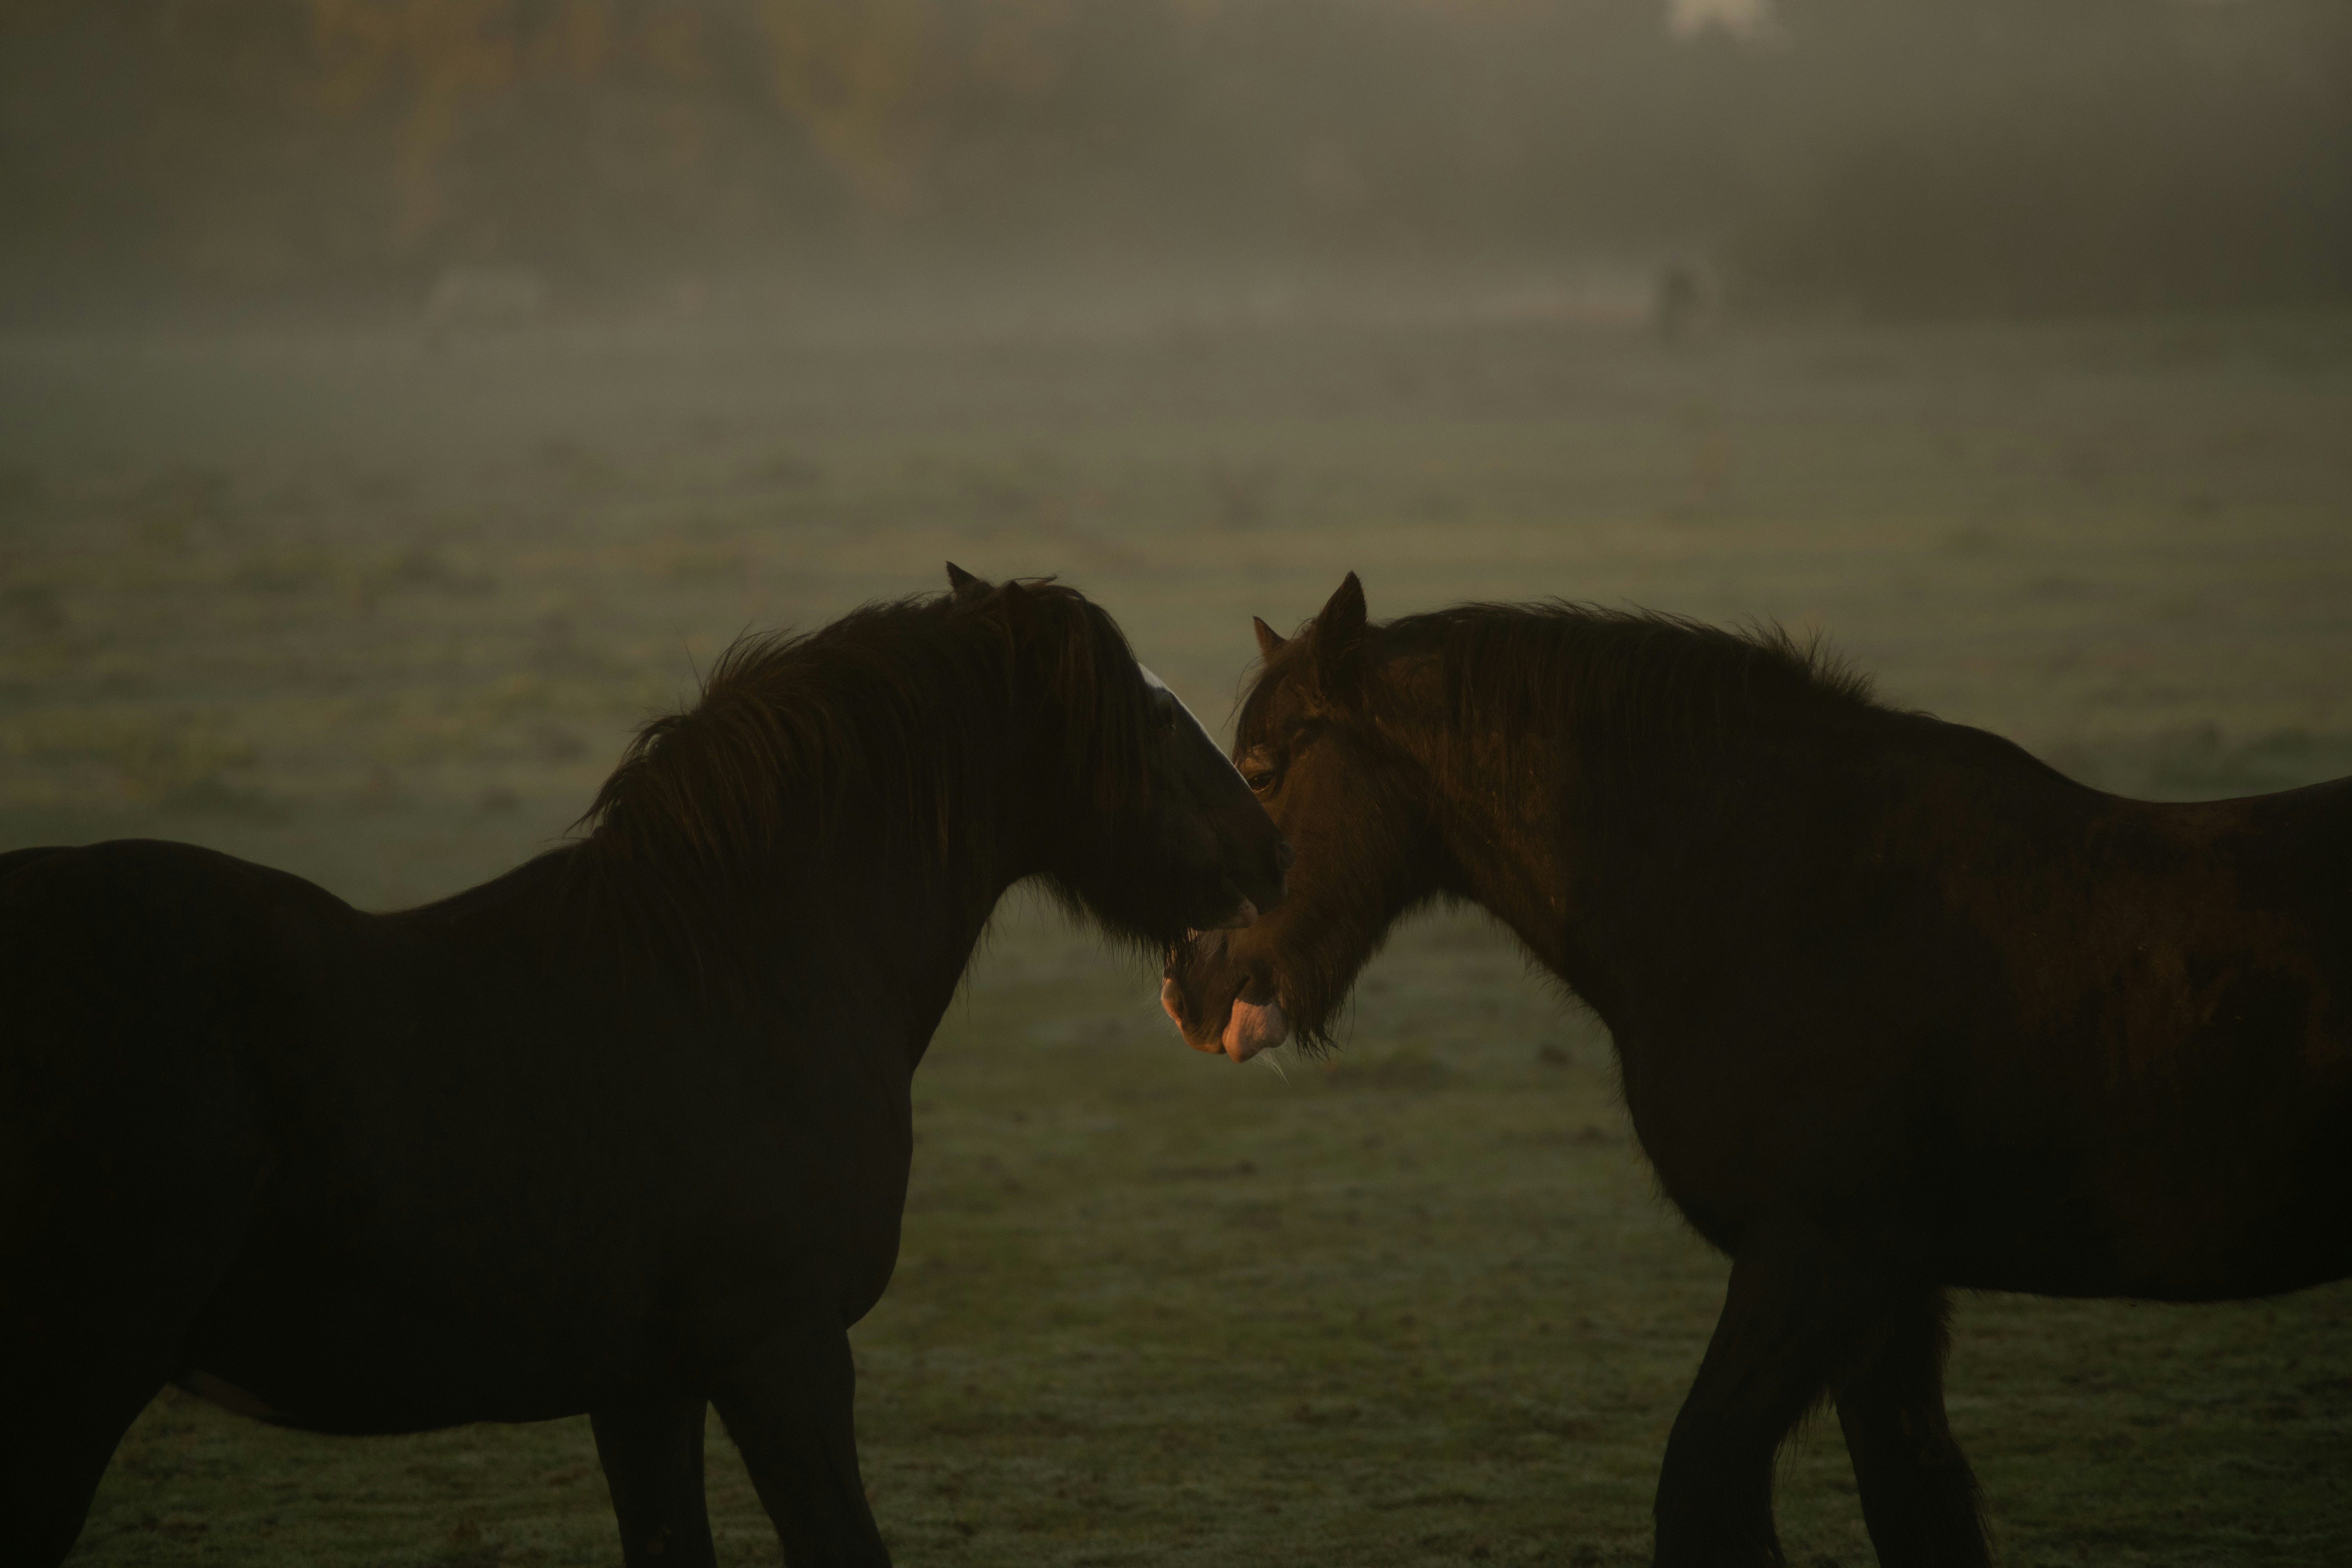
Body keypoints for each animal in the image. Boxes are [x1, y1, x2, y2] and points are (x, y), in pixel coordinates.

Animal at [1159, 572, 2352, 1567]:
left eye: (1260, 772)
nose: (1185, 985)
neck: (1779, 895)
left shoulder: (1815, 1263)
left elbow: (1700, 1494)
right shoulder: (1887, 1300)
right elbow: (1915, 1514)